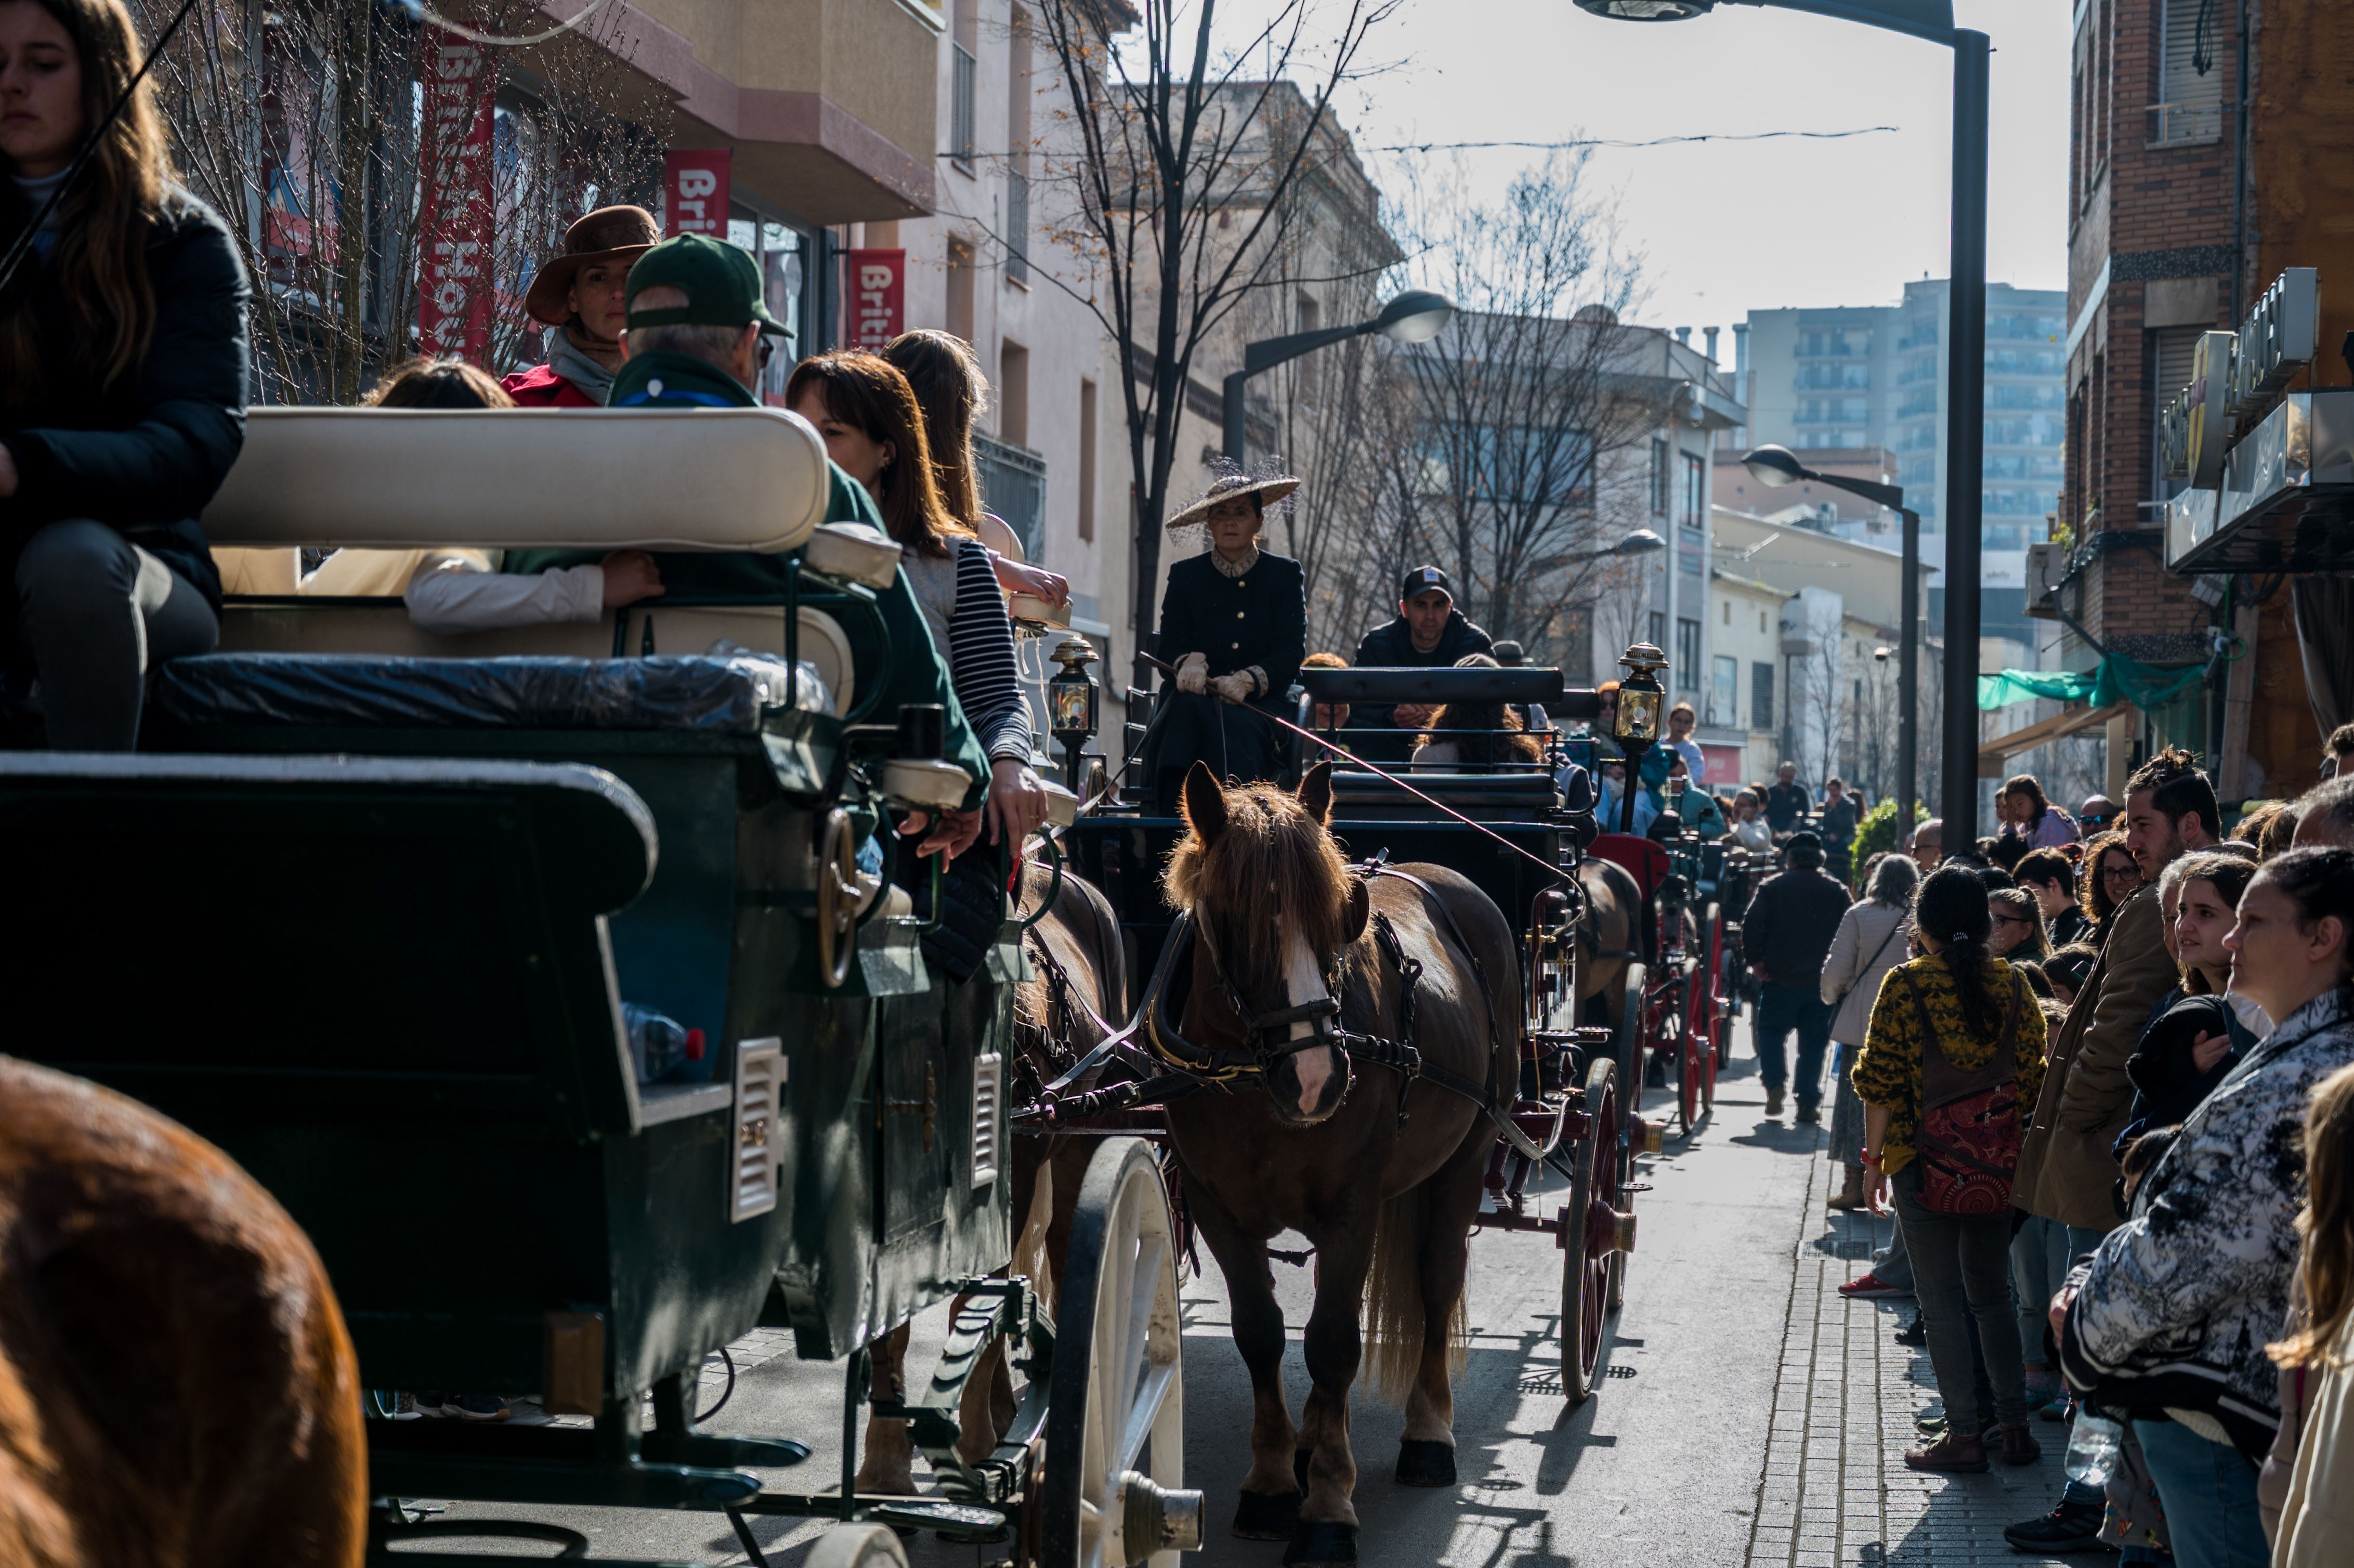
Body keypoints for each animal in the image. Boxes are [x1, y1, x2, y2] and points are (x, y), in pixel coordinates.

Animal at [857, 847, 1130, 1488]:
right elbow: (895, 1325)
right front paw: (884, 1463)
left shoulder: (1016, 1172)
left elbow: (978, 1301)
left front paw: (976, 1442)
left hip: (1079, 1132)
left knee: (1060, 1246)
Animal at [1153, 758, 1506, 1563]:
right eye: (1233, 916)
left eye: (1340, 912)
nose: (1316, 1077)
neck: (1255, 1087)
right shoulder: (1217, 1208)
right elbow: (1262, 1334)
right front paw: (1271, 1482)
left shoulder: (1353, 1209)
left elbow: (1334, 1344)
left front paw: (1326, 1509)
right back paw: (1317, 1436)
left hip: (1466, 1156)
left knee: (1438, 1280)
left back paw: (1426, 1433)